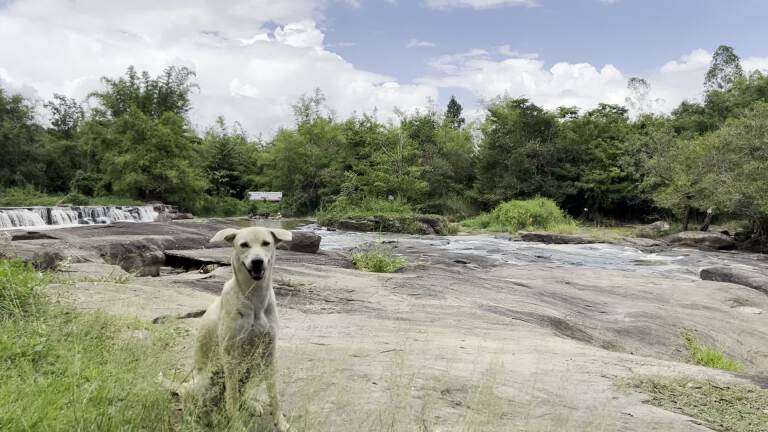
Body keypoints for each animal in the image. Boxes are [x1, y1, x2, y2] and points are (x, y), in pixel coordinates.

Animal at [184, 228, 292, 430]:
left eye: (266, 243)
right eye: (244, 245)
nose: (257, 261)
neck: (255, 298)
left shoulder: (269, 353)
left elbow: (274, 395)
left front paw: (281, 423)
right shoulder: (231, 355)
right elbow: (232, 396)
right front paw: (236, 424)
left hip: (251, 367)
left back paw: (249, 404)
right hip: (206, 378)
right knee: (191, 398)